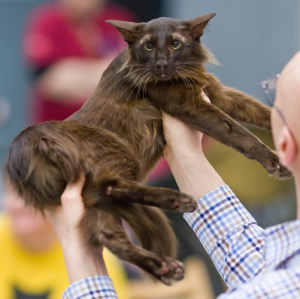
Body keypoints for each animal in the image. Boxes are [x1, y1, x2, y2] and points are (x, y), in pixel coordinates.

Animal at [5, 12, 290, 288]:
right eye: (148, 46)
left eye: (175, 44)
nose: (161, 64)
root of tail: (27, 142)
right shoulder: (188, 104)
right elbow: (238, 132)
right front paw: (275, 162)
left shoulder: (216, 92)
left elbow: (258, 112)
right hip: (114, 155)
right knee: (113, 186)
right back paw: (176, 201)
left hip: (92, 200)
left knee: (107, 235)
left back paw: (163, 266)